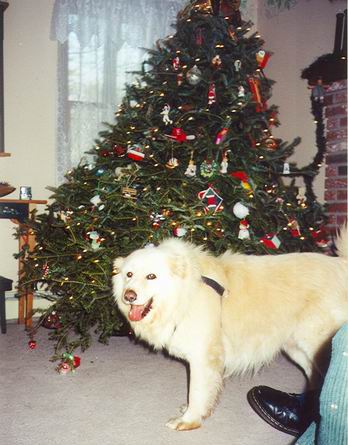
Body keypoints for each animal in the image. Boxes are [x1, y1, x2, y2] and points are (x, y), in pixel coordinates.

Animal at [112, 227, 348, 428]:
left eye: (151, 276)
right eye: (129, 275)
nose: (128, 296)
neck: (186, 293)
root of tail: (342, 265)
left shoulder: (202, 358)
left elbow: (196, 392)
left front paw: (188, 420)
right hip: (297, 349)